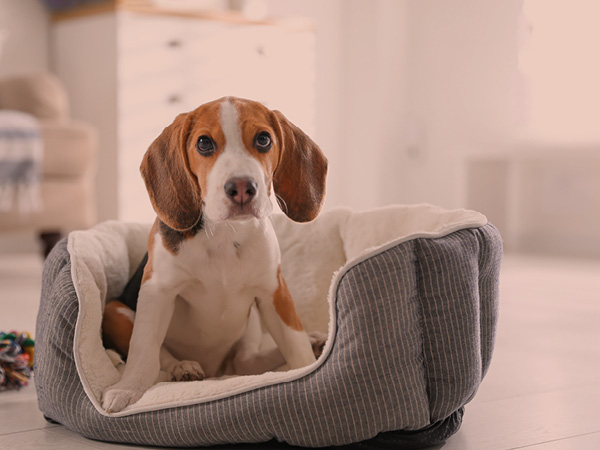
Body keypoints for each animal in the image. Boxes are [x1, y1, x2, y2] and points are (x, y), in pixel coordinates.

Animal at [102, 96, 328, 414]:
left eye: (263, 139)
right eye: (204, 143)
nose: (242, 187)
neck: (225, 233)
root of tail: (215, 370)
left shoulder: (274, 292)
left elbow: (295, 344)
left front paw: (307, 370)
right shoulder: (156, 290)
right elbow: (143, 350)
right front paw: (127, 389)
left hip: (251, 323)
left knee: (245, 362)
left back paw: (312, 342)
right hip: (114, 310)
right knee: (161, 359)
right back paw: (183, 367)